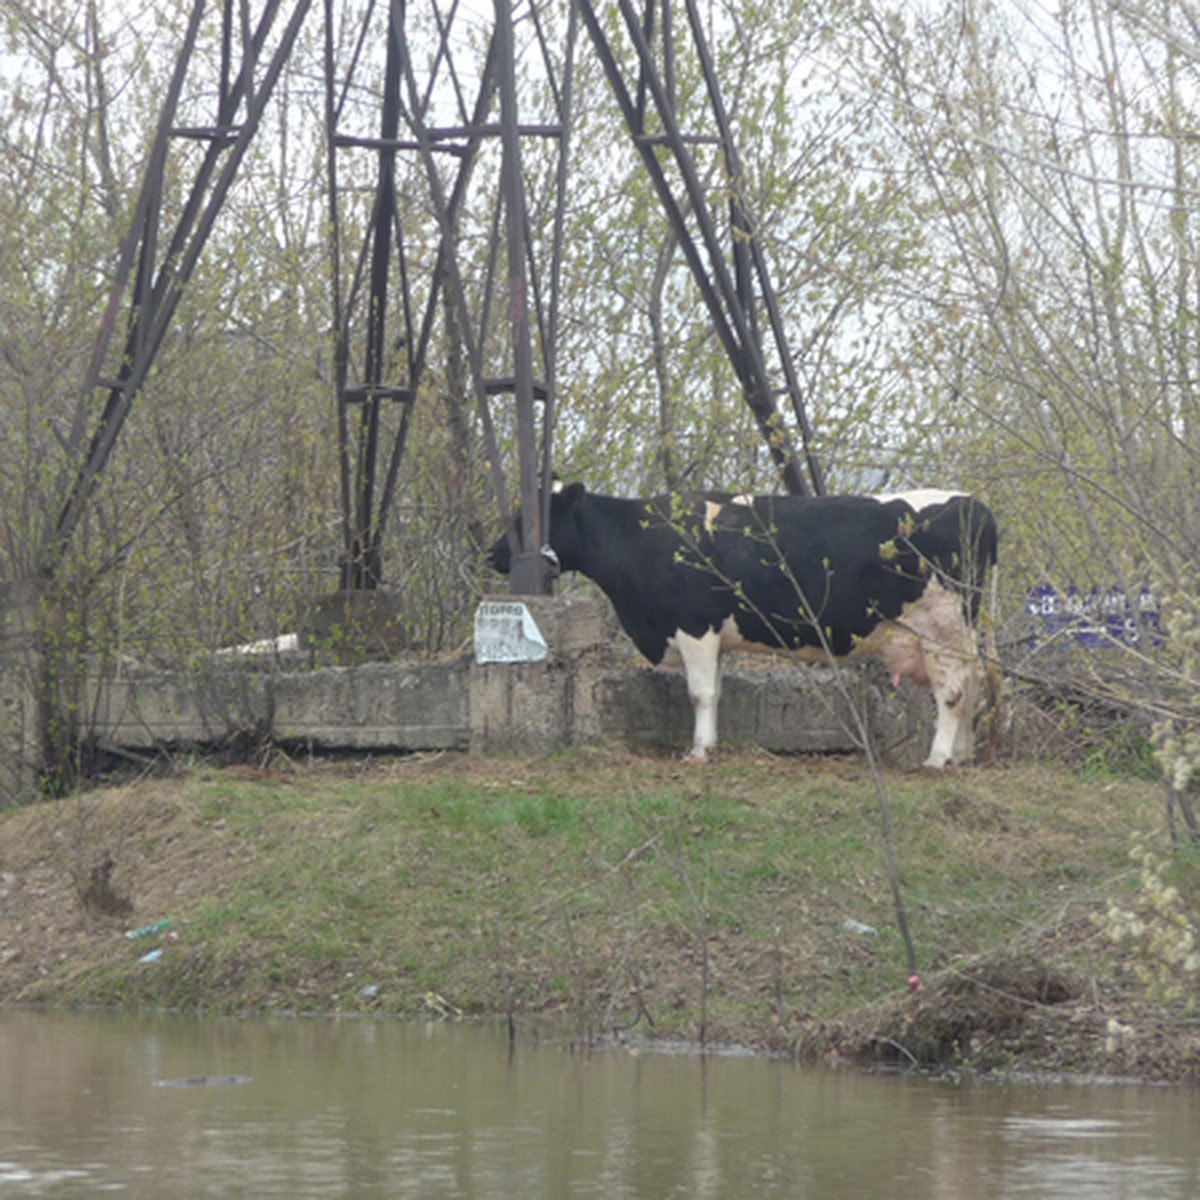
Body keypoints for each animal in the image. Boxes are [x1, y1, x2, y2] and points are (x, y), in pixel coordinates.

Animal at [482, 482, 998, 763]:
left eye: (527, 519)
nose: (494, 554)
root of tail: (977, 505)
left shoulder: (693, 625)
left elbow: (700, 693)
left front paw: (698, 751)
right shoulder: (713, 635)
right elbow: (716, 690)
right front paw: (710, 743)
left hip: (942, 630)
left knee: (953, 693)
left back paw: (936, 758)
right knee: (973, 687)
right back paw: (961, 756)